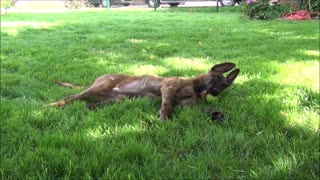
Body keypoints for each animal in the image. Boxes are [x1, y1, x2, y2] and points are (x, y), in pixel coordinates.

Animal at [50, 62, 240, 120]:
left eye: (224, 86)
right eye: (215, 78)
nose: (215, 92)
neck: (194, 87)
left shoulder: (188, 105)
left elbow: (201, 108)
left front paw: (216, 113)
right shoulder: (168, 88)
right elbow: (167, 105)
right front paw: (163, 119)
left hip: (117, 98)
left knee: (92, 103)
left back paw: (90, 107)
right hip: (101, 85)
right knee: (71, 97)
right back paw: (52, 105)